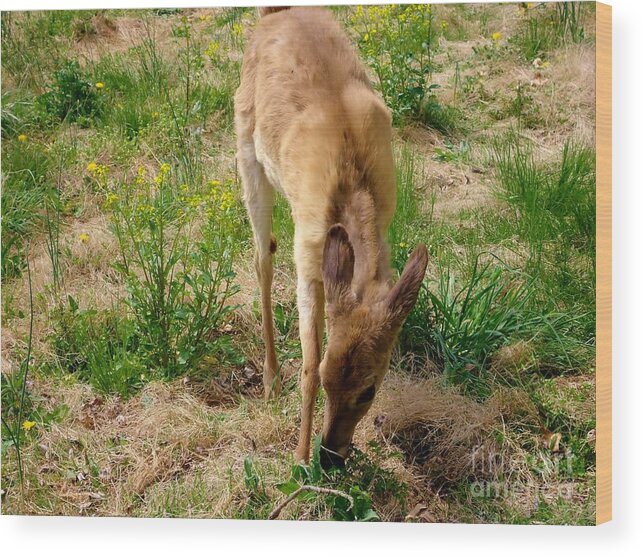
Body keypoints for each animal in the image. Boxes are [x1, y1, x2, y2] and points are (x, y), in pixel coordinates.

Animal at [235, 6, 428, 466]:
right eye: (327, 379)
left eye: (370, 389)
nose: (331, 454)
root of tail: (275, 13)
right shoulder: (306, 258)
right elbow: (306, 362)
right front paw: (300, 460)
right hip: (247, 155)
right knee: (262, 260)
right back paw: (270, 378)